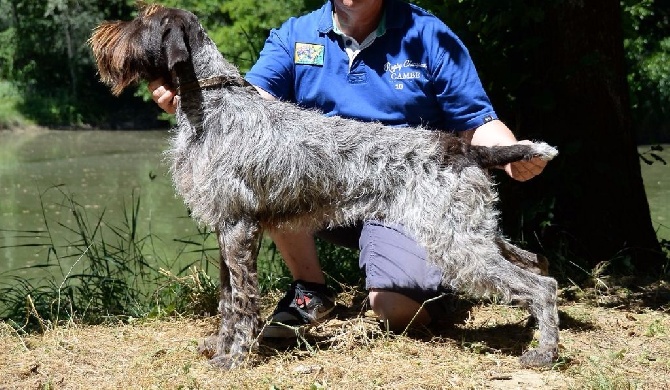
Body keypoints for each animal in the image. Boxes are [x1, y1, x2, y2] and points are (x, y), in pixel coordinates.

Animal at [89, 3, 560, 368]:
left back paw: (544, 352)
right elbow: (226, 300)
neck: (209, 99)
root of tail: (464, 149)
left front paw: (234, 356)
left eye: (142, 21)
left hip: (455, 242)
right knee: (536, 263)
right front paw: (219, 346)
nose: (101, 33)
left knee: (541, 286)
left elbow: (241, 301)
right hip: (476, 233)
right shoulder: (228, 229)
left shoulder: (238, 228)